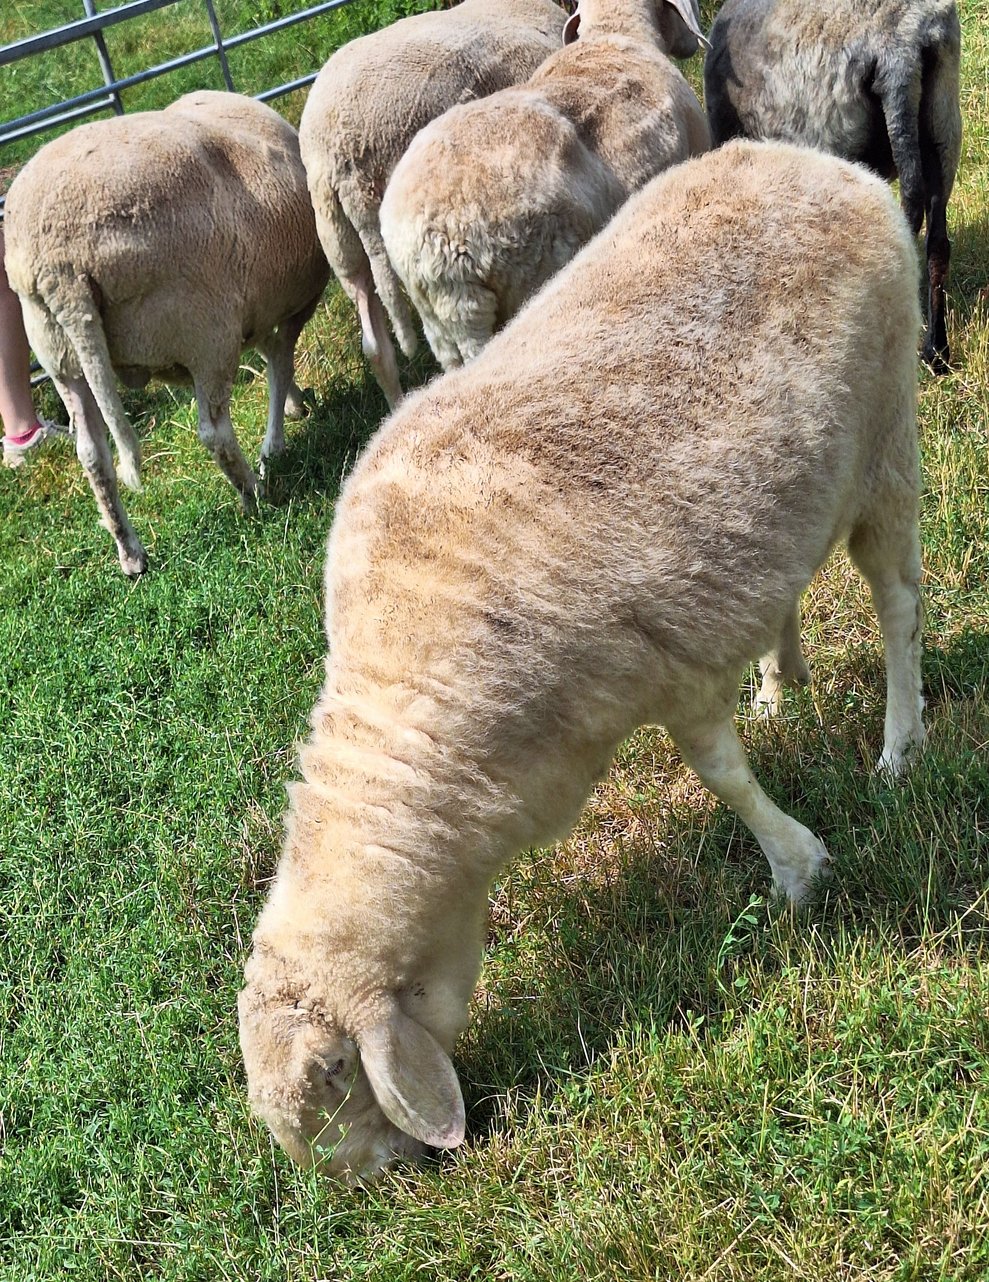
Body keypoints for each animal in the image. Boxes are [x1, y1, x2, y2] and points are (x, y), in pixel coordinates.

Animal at [3, 90, 330, 577]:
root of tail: (59, 263)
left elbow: (272, 355)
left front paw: (290, 409)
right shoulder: (294, 304)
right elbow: (280, 359)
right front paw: (278, 436)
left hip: (60, 355)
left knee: (93, 455)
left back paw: (131, 552)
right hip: (204, 329)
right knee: (213, 431)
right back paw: (254, 494)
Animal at [238, 140, 926, 1181]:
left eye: (332, 1077)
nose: (385, 1185)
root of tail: (807, 159)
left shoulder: (666, 668)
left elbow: (721, 776)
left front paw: (798, 871)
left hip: (885, 436)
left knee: (896, 603)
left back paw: (897, 744)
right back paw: (782, 683)